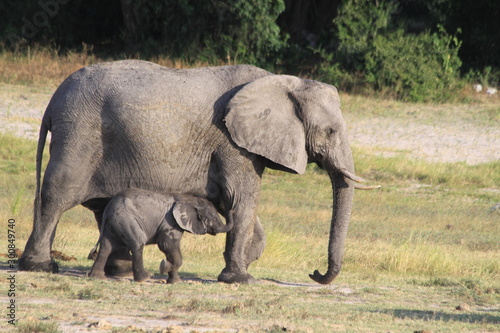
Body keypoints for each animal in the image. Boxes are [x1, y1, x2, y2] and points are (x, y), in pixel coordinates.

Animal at [88, 188, 232, 282]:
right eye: (214, 217)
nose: (229, 202)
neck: (188, 199)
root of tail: (108, 209)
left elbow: (170, 249)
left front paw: (175, 281)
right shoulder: (170, 222)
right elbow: (167, 245)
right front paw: (164, 266)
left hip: (114, 223)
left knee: (106, 247)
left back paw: (97, 277)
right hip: (127, 220)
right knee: (137, 244)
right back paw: (145, 277)